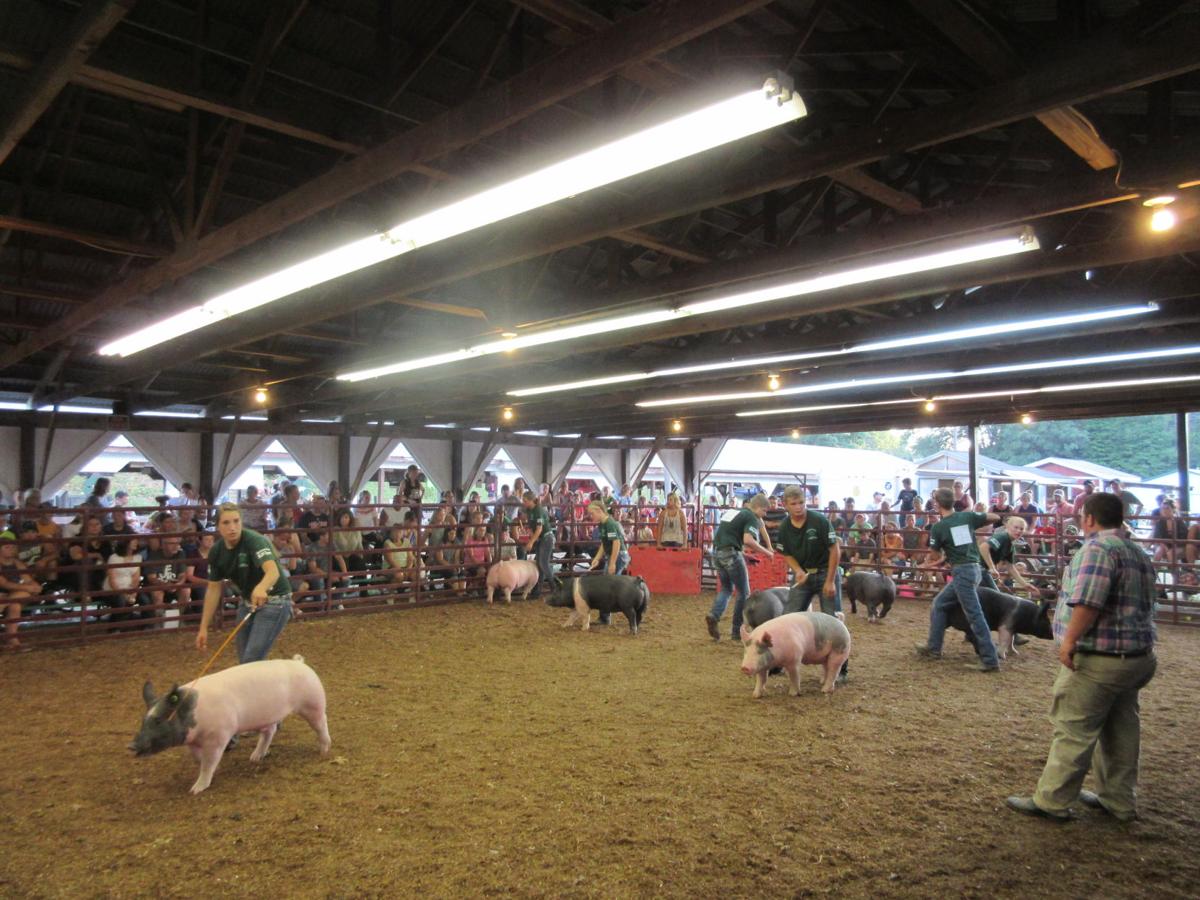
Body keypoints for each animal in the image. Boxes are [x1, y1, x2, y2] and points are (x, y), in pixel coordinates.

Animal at [130, 657, 333, 796]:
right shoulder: (193, 741)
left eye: (159, 720)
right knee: (270, 731)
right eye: (143, 720)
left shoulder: (219, 736)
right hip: (267, 717)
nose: (131, 745)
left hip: (313, 703)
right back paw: (255, 758)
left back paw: (323, 751)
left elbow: (209, 761)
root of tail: (299, 662)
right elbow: (199, 759)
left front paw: (195, 790)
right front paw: (215, 770)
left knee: (322, 723)